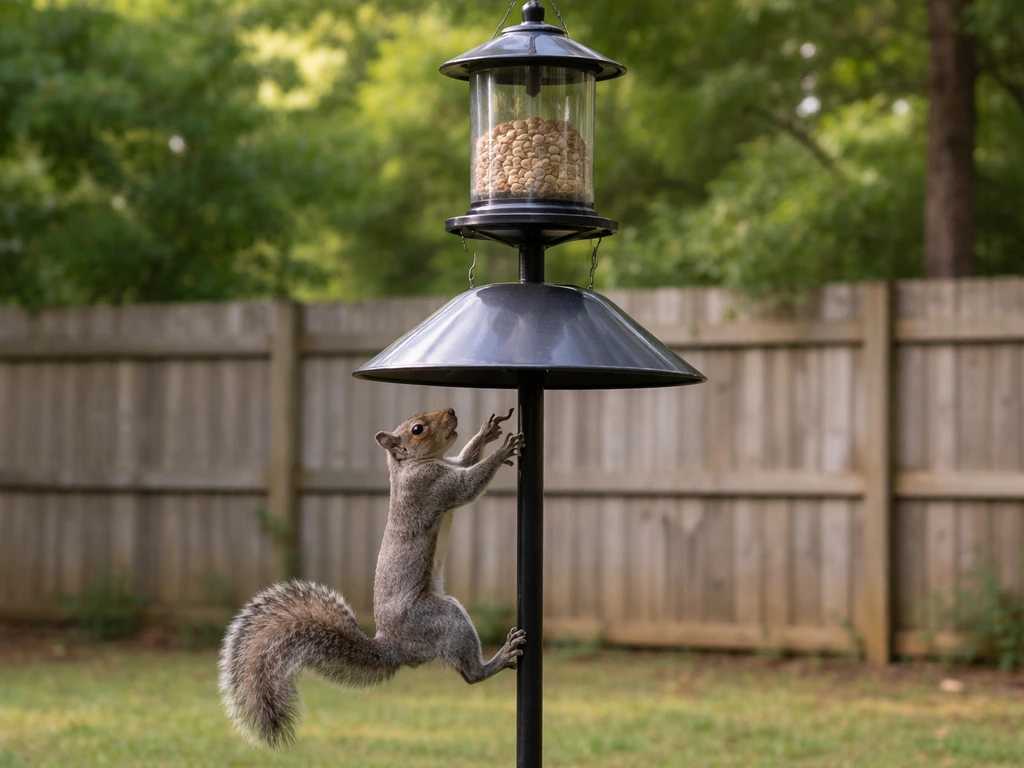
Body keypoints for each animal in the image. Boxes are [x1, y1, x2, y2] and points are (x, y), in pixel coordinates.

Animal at [218, 407, 526, 749]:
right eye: (417, 429)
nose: (451, 411)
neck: (409, 466)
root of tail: (394, 646)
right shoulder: (431, 486)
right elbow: (469, 483)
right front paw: (502, 451)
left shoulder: (449, 465)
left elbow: (465, 458)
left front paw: (486, 433)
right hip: (443, 620)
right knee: (470, 674)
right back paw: (501, 657)